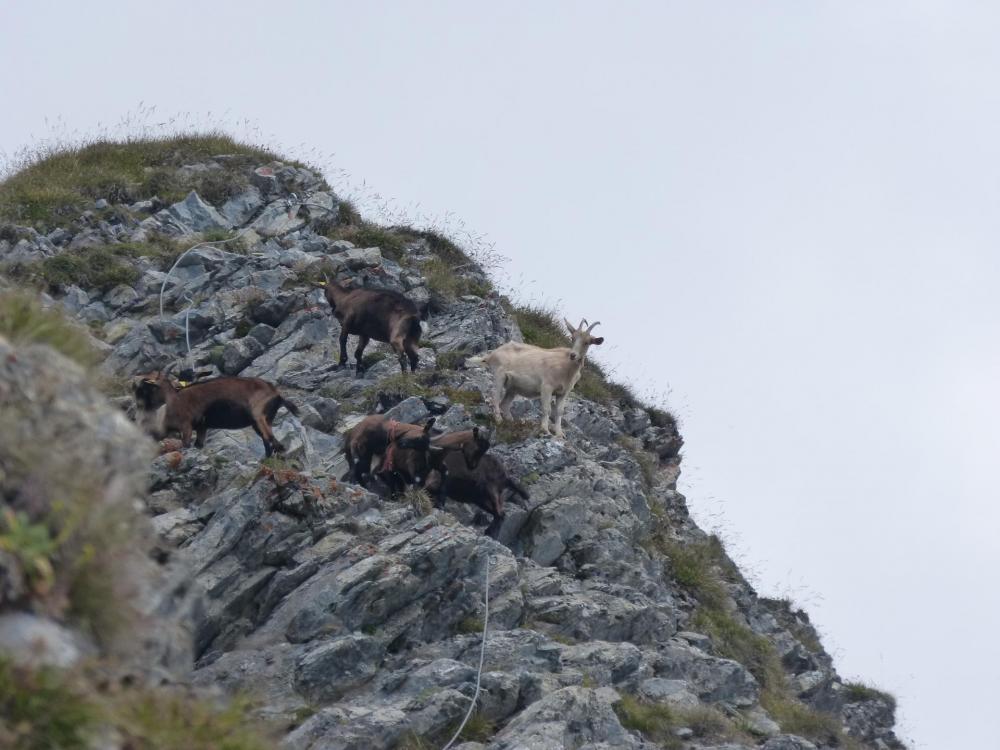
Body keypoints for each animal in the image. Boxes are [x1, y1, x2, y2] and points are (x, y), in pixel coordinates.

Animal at [131, 366, 298, 458]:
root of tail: (276, 393)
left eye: (148, 386)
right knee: (267, 439)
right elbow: (198, 445)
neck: (173, 398)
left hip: (259, 416)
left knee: (271, 438)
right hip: (261, 421)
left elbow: (186, 444)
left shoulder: (186, 426)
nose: (140, 407)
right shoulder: (201, 427)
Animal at [466, 318, 604, 440]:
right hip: (499, 376)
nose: (573, 355)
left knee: (504, 404)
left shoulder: (563, 393)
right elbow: (546, 409)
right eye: (572, 338)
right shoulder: (547, 387)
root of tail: (491, 355)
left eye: (587, 342)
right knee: (495, 397)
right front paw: (545, 430)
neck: (566, 368)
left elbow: (559, 412)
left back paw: (512, 422)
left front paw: (560, 434)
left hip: (513, 387)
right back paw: (499, 420)